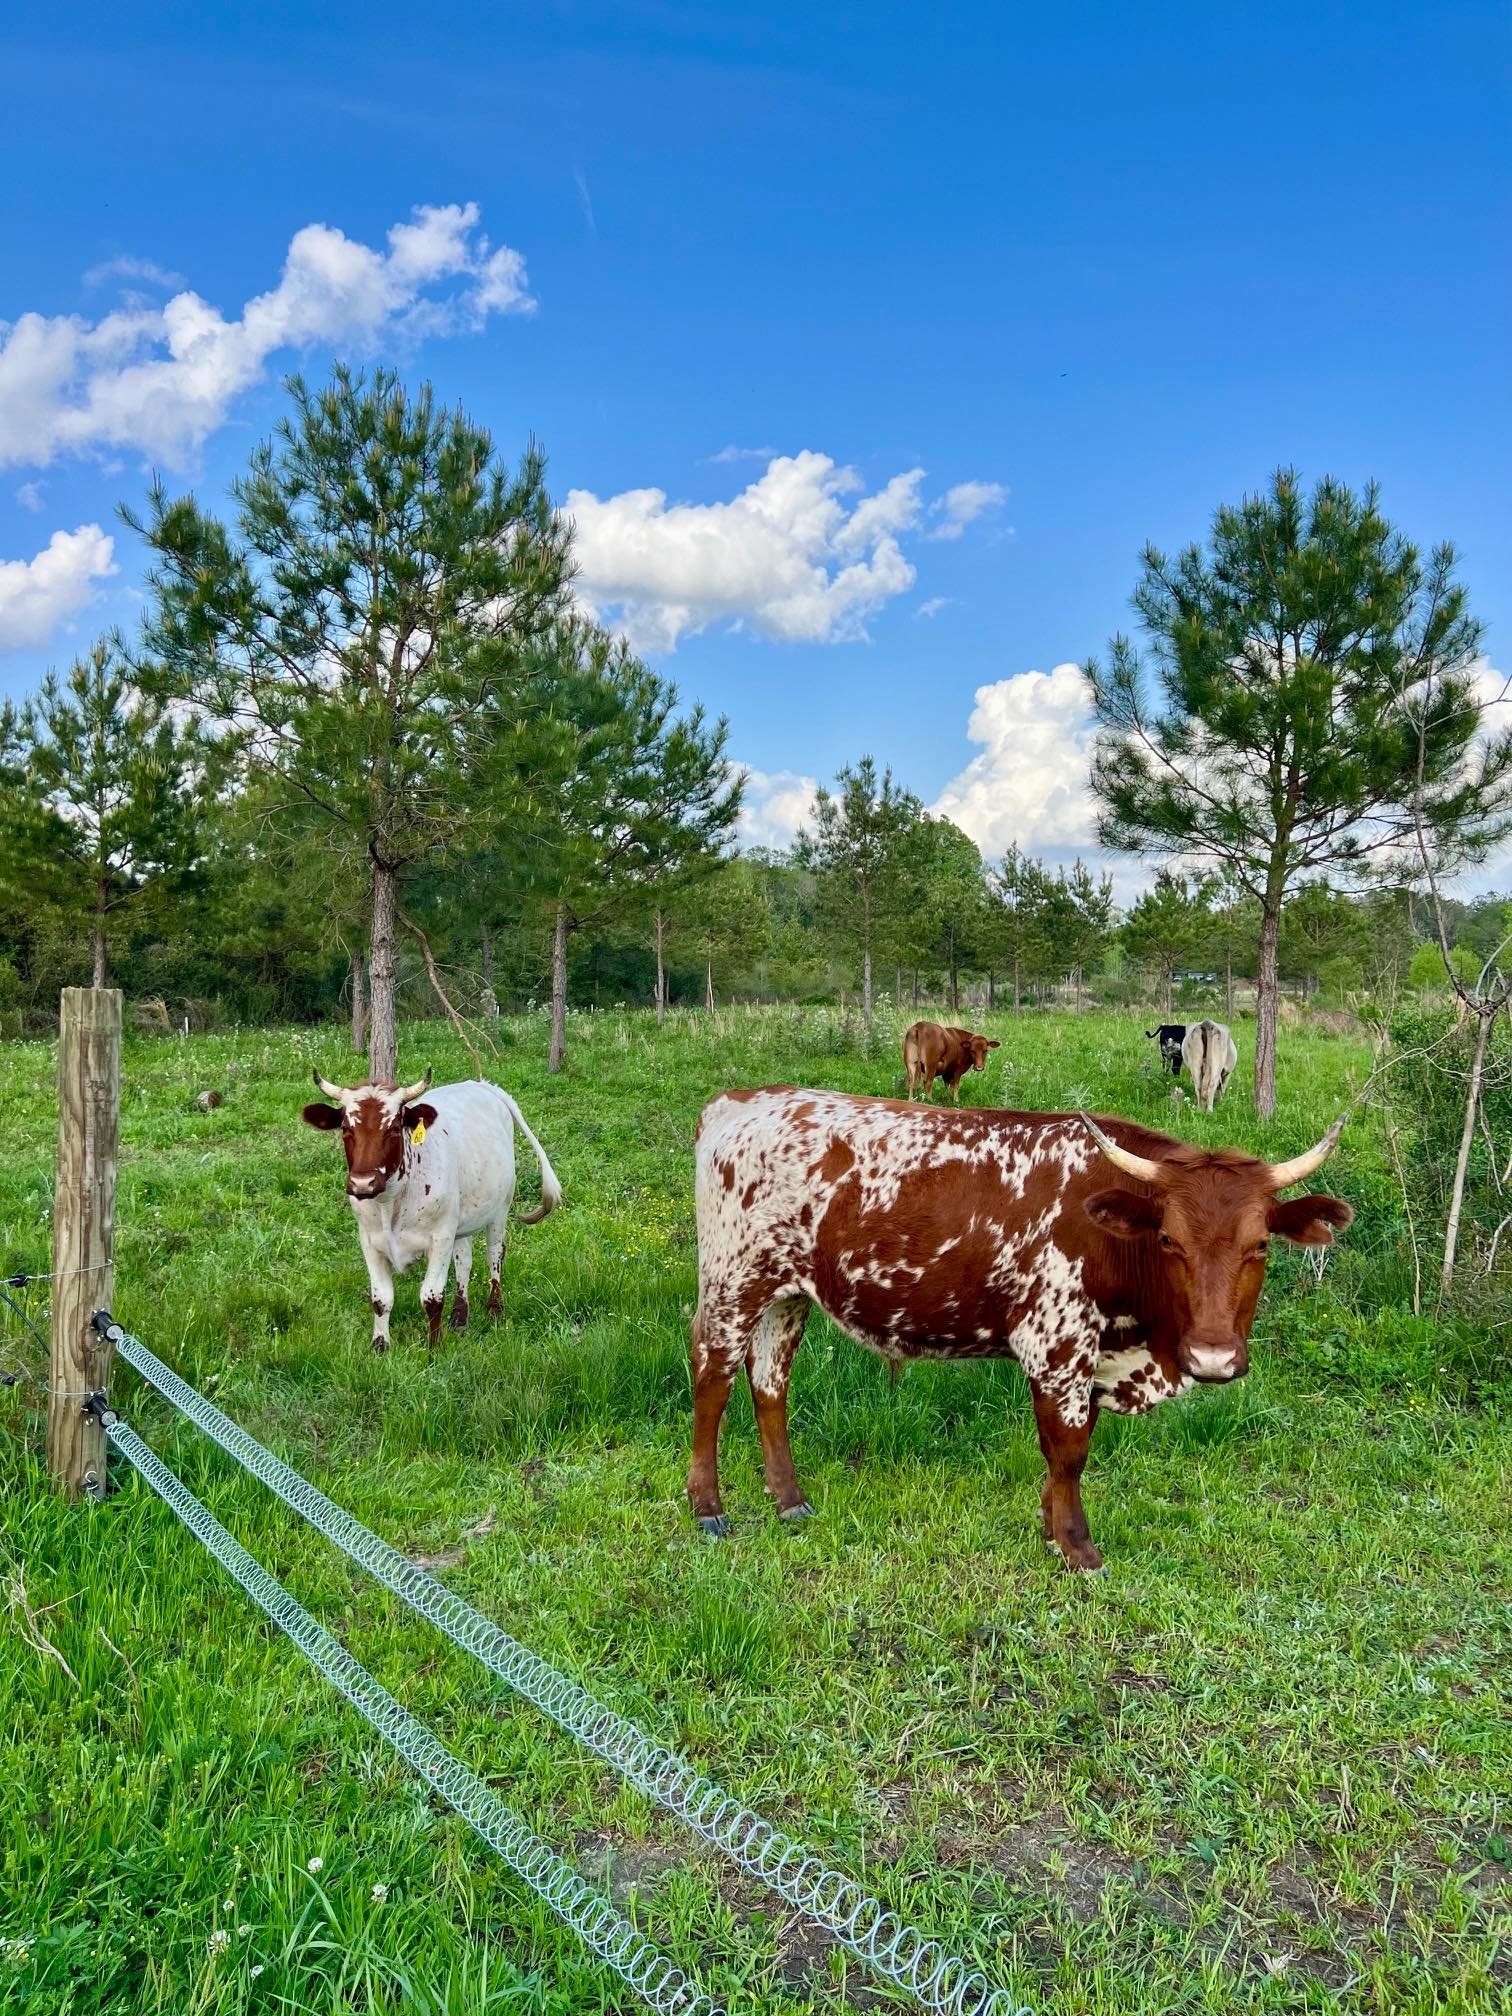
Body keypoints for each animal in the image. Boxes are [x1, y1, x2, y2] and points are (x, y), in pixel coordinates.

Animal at [302, 1069, 561, 1350]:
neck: (391, 1204)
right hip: (461, 1221)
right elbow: (381, 1299)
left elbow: (432, 1297)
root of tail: (483, 1085)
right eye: (346, 1129)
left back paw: (494, 1310)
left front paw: (434, 1347)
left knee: (495, 1254)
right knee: (464, 1260)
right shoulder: (370, 1241)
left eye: (394, 1128)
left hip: (499, 1210)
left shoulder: (439, 1239)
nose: (363, 1183)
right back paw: (460, 1317)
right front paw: (380, 1346)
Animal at [687, 1088, 1349, 1568]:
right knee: (713, 1378)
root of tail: (741, 1100)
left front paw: (1052, 1528)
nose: (1213, 1358)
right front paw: (1078, 1547)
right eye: (1168, 1240)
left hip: (787, 1295)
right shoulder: (1056, 1346)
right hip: (732, 1282)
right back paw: (708, 1507)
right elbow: (1070, 1450)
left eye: (1260, 1244)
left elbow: (1070, 1449)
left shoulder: (1091, 1355)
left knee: (770, 1382)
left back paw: (789, 1500)